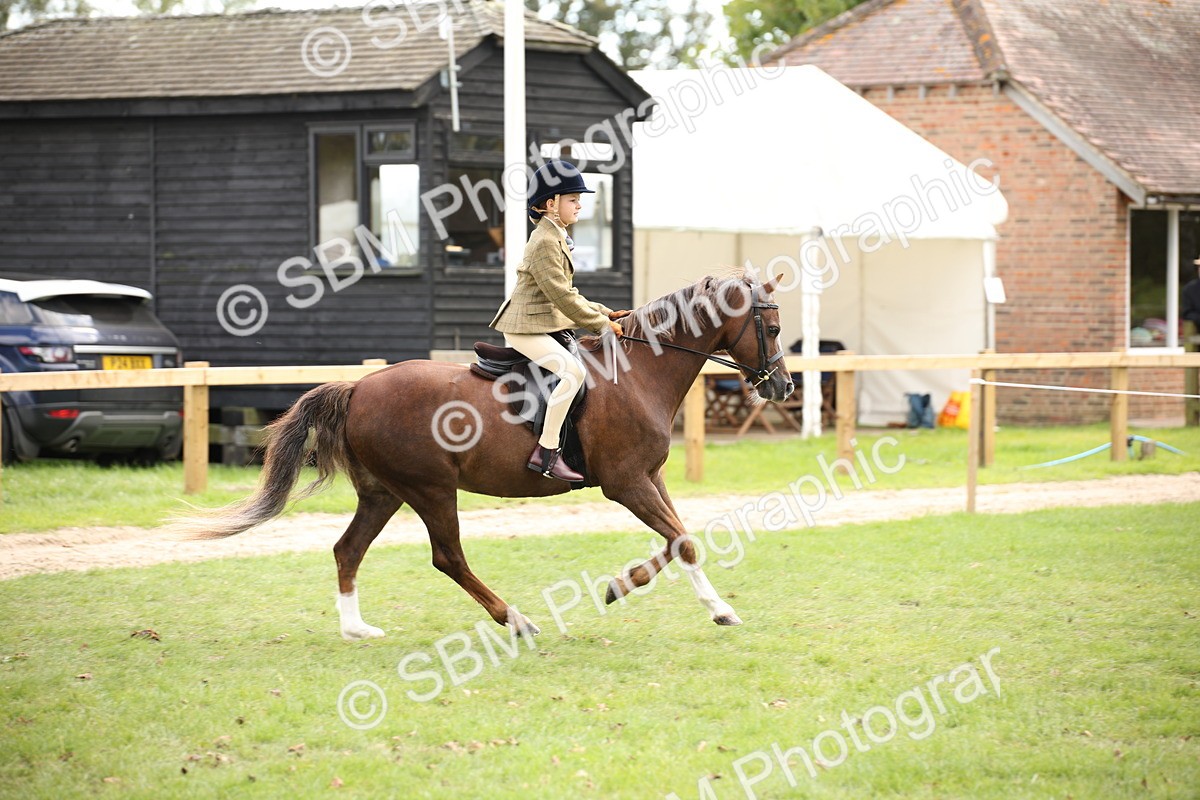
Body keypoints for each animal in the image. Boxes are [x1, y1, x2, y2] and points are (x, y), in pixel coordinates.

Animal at [186, 272, 793, 639]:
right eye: (772, 325)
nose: (783, 386)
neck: (638, 371)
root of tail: (358, 388)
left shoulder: (649, 478)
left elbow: (680, 538)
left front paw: (647, 590)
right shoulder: (626, 484)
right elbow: (682, 539)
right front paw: (694, 603)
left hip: (383, 493)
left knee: (348, 549)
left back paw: (357, 629)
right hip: (430, 490)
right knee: (447, 557)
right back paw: (516, 619)